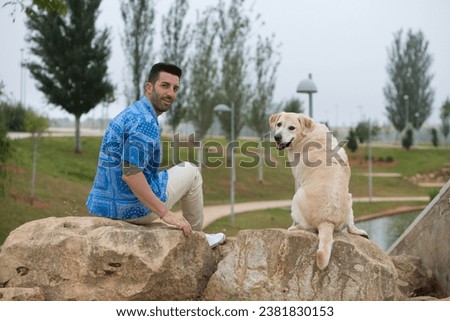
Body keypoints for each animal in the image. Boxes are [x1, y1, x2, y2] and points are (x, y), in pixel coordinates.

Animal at [268, 111, 368, 268]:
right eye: (279, 124)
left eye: (291, 127)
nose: (277, 137)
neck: (307, 134)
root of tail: (326, 221)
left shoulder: (297, 179)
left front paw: (292, 226)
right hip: (350, 197)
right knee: (351, 225)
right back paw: (359, 231)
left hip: (296, 197)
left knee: (305, 226)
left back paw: (295, 228)